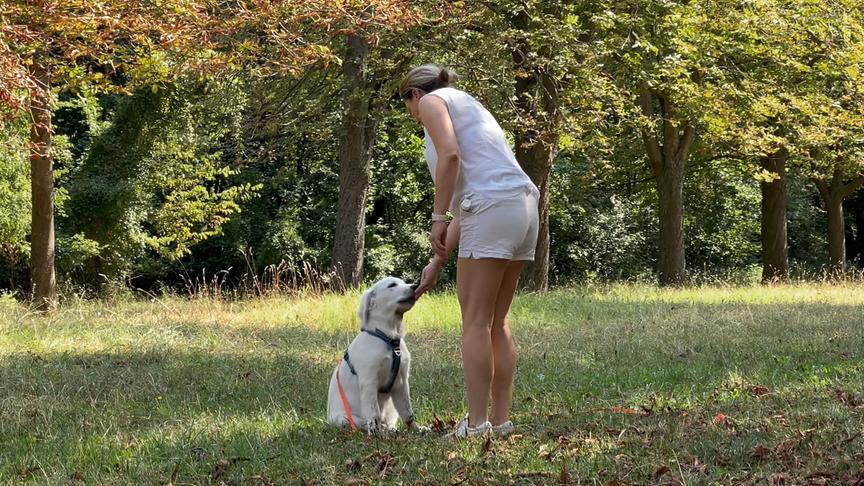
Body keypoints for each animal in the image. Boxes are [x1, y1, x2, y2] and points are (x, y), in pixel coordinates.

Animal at [326, 278, 426, 432]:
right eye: (392, 285)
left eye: (404, 282)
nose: (415, 286)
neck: (389, 338)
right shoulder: (369, 381)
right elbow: (373, 413)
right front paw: (376, 433)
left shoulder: (402, 381)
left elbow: (408, 412)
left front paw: (417, 429)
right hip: (344, 418)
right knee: (364, 422)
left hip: (391, 409)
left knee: (389, 421)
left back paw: (390, 429)